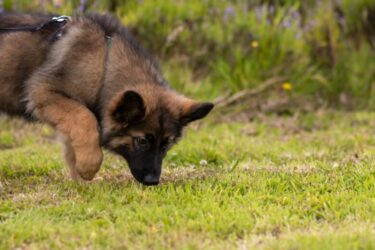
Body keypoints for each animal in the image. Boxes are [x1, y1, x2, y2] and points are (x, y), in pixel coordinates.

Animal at [0, 13, 214, 186]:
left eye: (166, 145)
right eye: (142, 141)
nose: (153, 181)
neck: (104, 64)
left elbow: (73, 142)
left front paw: (81, 179)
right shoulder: (43, 91)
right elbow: (85, 118)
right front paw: (89, 166)